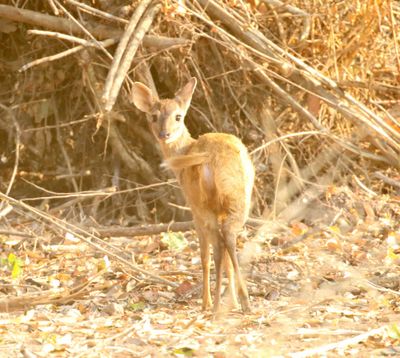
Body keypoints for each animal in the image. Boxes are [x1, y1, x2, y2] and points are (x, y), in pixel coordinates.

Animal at [133, 77, 255, 314]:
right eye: (154, 116)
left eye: (178, 116)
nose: (164, 134)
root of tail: (209, 157)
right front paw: (233, 301)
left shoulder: (193, 208)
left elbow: (203, 255)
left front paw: (206, 302)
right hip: (238, 199)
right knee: (229, 238)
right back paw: (243, 302)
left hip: (202, 204)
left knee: (215, 247)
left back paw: (213, 305)